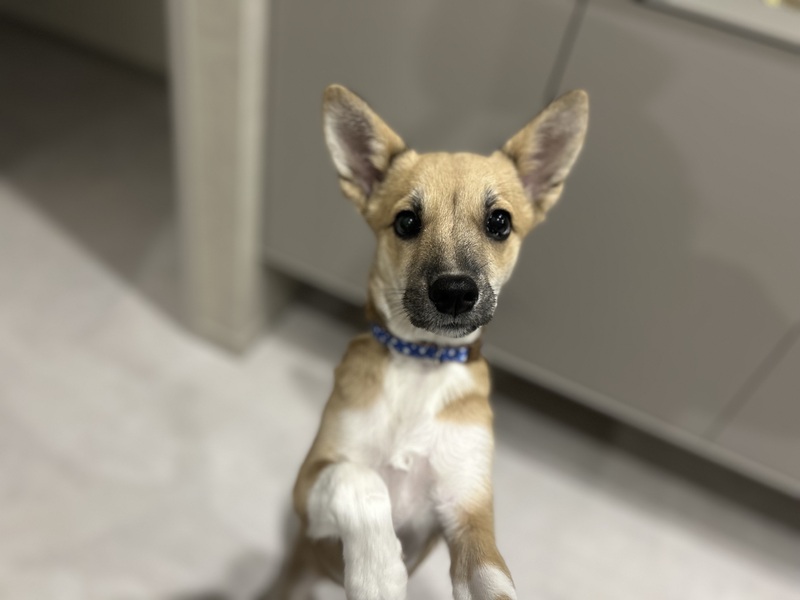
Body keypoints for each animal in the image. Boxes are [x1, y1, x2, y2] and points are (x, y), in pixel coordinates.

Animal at [267, 84, 588, 600]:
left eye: (499, 222)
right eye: (406, 222)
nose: (455, 292)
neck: (421, 364)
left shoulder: (468, 512)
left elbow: (492, 581)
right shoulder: (311, 480)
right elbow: (356, 477)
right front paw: (378, 572)